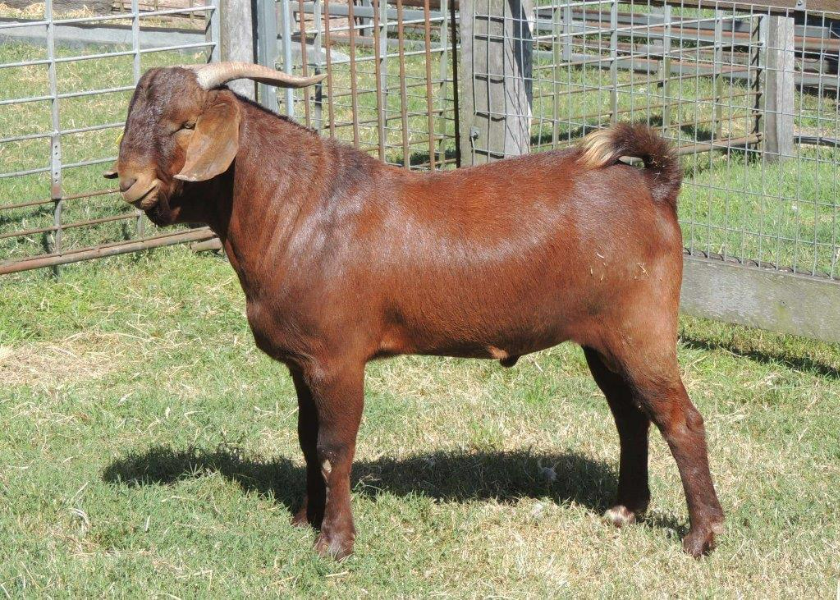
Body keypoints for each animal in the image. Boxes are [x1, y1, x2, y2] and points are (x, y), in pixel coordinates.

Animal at [105, 62, 724, 560]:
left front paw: (334, 543)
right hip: (601, 337)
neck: (298, 210)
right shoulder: (302, 362)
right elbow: (305, 438)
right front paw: (304, 519)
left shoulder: (337, 358)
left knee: (680, 420)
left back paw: (701, 536)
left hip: (640, 325)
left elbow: (333, 447)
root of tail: (656, 186)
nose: (130, 181)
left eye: (186, 125)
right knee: (631, 415)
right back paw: (626, 509)